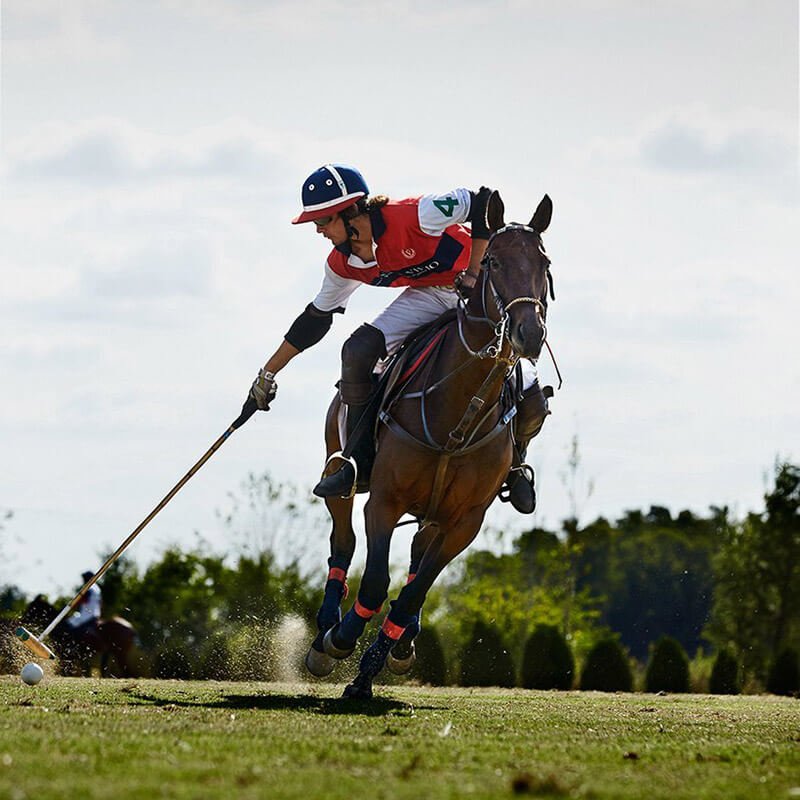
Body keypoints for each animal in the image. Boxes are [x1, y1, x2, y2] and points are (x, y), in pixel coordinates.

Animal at [306, 192, 556, 692]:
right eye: (493, 261)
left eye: (545, 262)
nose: (529, 333)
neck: (455, 419)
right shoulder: (383, 500)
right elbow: (375, 582)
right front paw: (339, 640)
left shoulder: (466, 522)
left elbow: (413, 592)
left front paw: (370, 670)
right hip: (337, 467)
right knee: (342, 537)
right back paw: (325, 631)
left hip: (436, 512)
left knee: (417, 560)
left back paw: (402, 643)